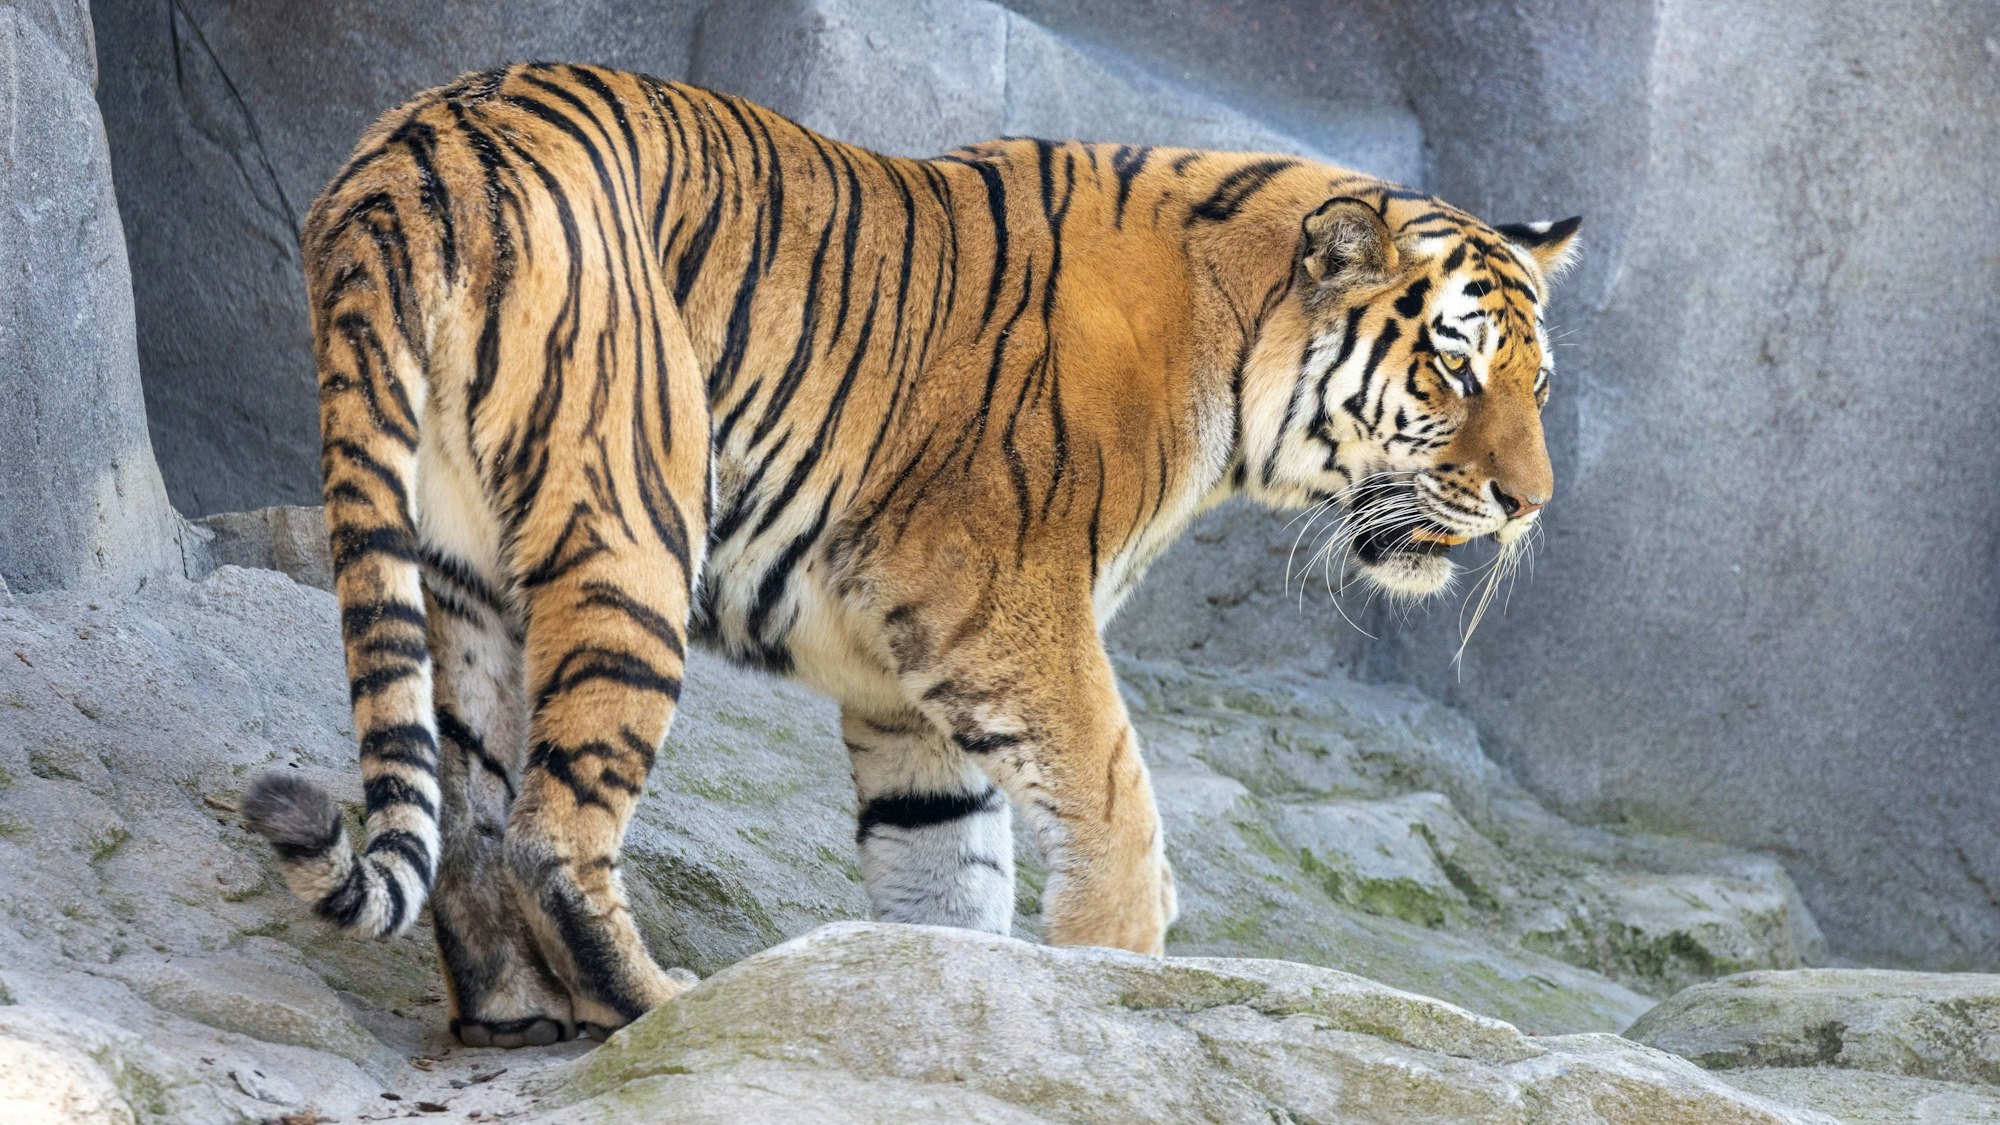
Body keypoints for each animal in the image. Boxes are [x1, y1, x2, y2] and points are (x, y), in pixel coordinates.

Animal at [239, 62, 1578, 1047]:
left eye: (1536, 383)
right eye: (1452, 369)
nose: (1527, 504)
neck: (1233, 357)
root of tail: (409, 157)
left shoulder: (907, 676)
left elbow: (946, 864)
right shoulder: (1001, 602)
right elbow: (1115, 807)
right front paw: (1115, 976)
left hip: (462, 573)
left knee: (469, 812)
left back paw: (514, 1015)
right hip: (635, 524)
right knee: (547, 827)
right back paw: (660, 1009)